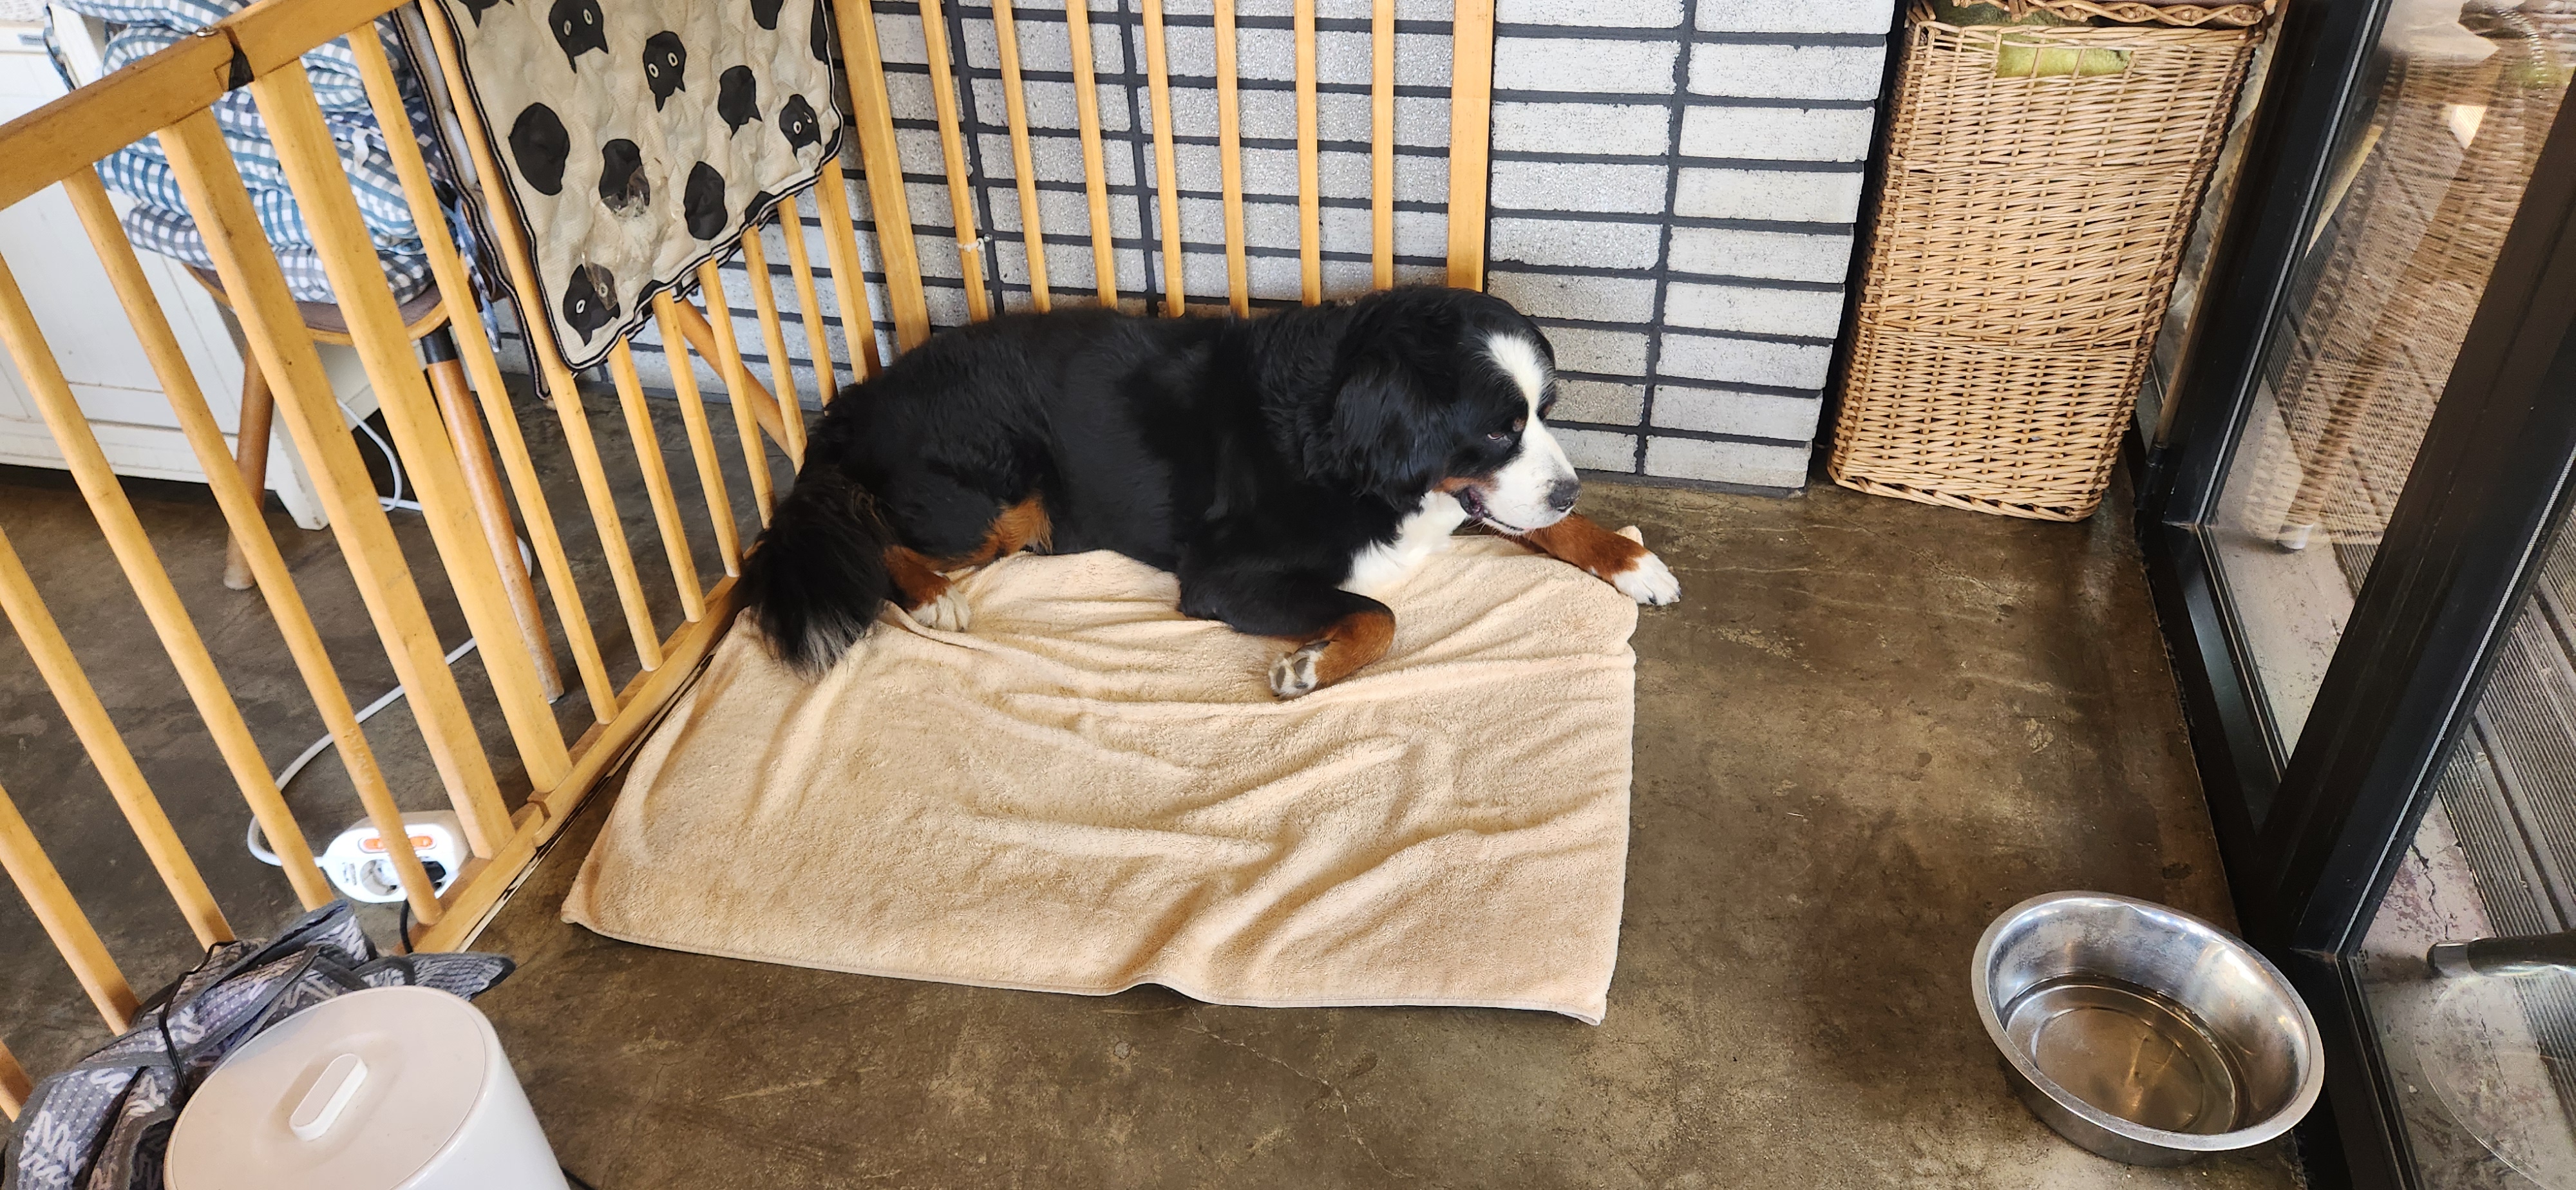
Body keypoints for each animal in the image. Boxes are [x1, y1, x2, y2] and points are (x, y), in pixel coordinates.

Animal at [737, 285, 1681, 697]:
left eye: (1543, 412)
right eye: (1495, 430)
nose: (1569, 490)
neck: (1336, 429)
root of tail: (857, 399)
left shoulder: (1470, 501)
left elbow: (1534, 528)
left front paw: (1629, 559)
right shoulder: (1225, 574)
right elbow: (1379, 615)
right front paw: (1310, 665)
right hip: (999, 499)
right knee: (871, 530)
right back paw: (933, 596)